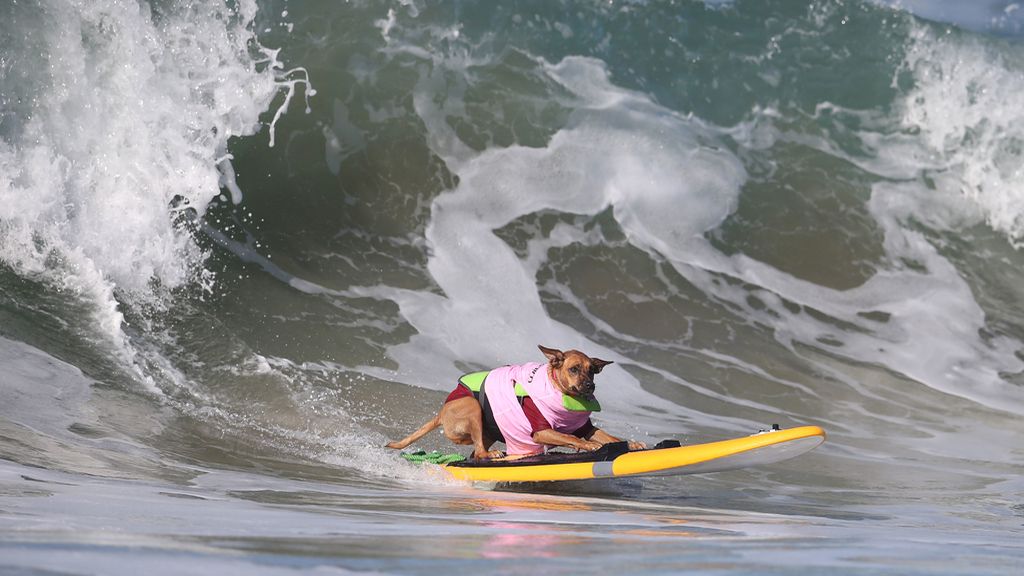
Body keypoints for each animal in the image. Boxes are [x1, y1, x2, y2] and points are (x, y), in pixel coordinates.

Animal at [387, 344, 643, 457]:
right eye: (574, 369)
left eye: (592, 371)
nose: (591, 386)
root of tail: (441, 412)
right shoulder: (541, 431)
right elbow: (569, 437)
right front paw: (588, 446)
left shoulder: (586, 428)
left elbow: (609, 437)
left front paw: (630, 444)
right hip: (472, 407)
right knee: (479, 453)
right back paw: (491, 455)